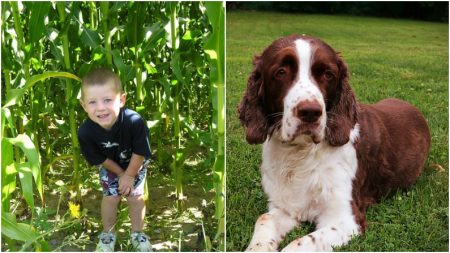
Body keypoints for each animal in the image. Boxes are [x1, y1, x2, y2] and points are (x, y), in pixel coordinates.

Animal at [237, 35, 430, 251]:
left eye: (328, 74)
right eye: (281, 72)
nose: (310, 112)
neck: (301, 153)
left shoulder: (346, 219)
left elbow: (299, 244)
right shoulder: (285, 206)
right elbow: (264, 219)